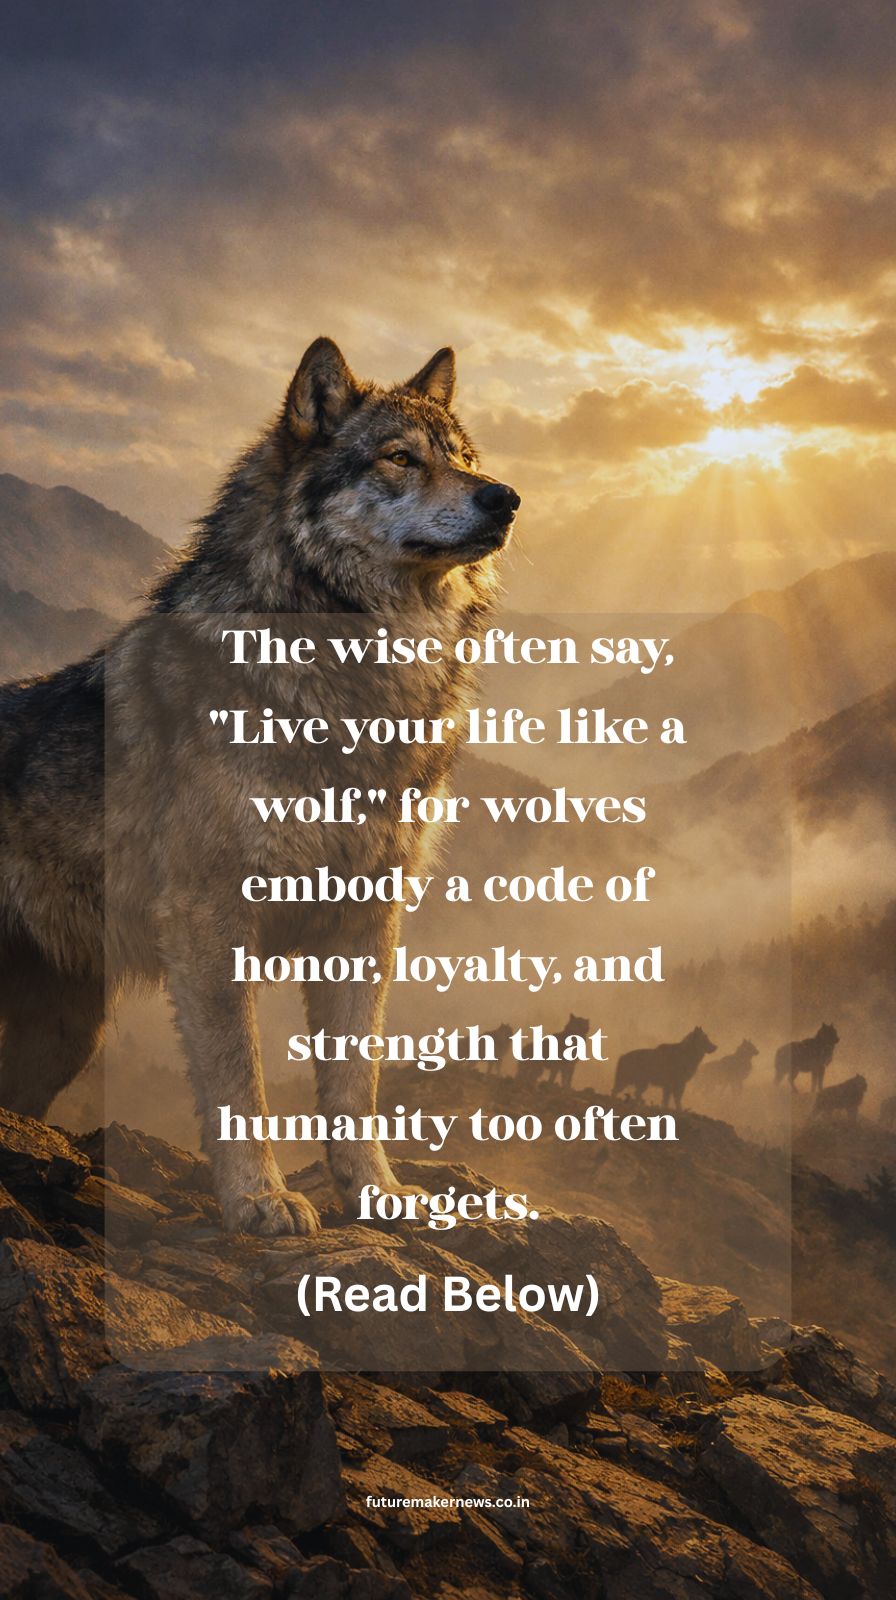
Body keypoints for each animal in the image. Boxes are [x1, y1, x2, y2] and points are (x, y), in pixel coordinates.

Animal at [0, 338, 519, 1237]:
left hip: (62, 1036)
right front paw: (259, 1200)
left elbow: (355, 1082)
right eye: (400, 457)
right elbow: (238, 1078)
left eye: (463, 457)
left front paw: (376, 1194)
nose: (506, 498)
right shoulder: (210, 918)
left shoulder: (367, 921)